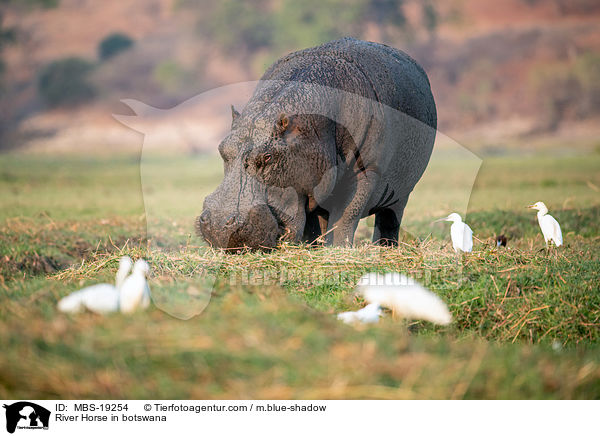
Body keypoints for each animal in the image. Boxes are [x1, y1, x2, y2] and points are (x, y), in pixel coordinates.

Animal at [197, 38, 436, 249]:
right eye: (222, 149)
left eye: (268, 157)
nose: (218, 225)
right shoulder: (308, 183)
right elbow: (311, 226)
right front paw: (313, 249)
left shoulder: (366, 171)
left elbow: (345, 217)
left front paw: (338, 250)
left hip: (401, 193)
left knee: (389, 220)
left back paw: (385, 249)